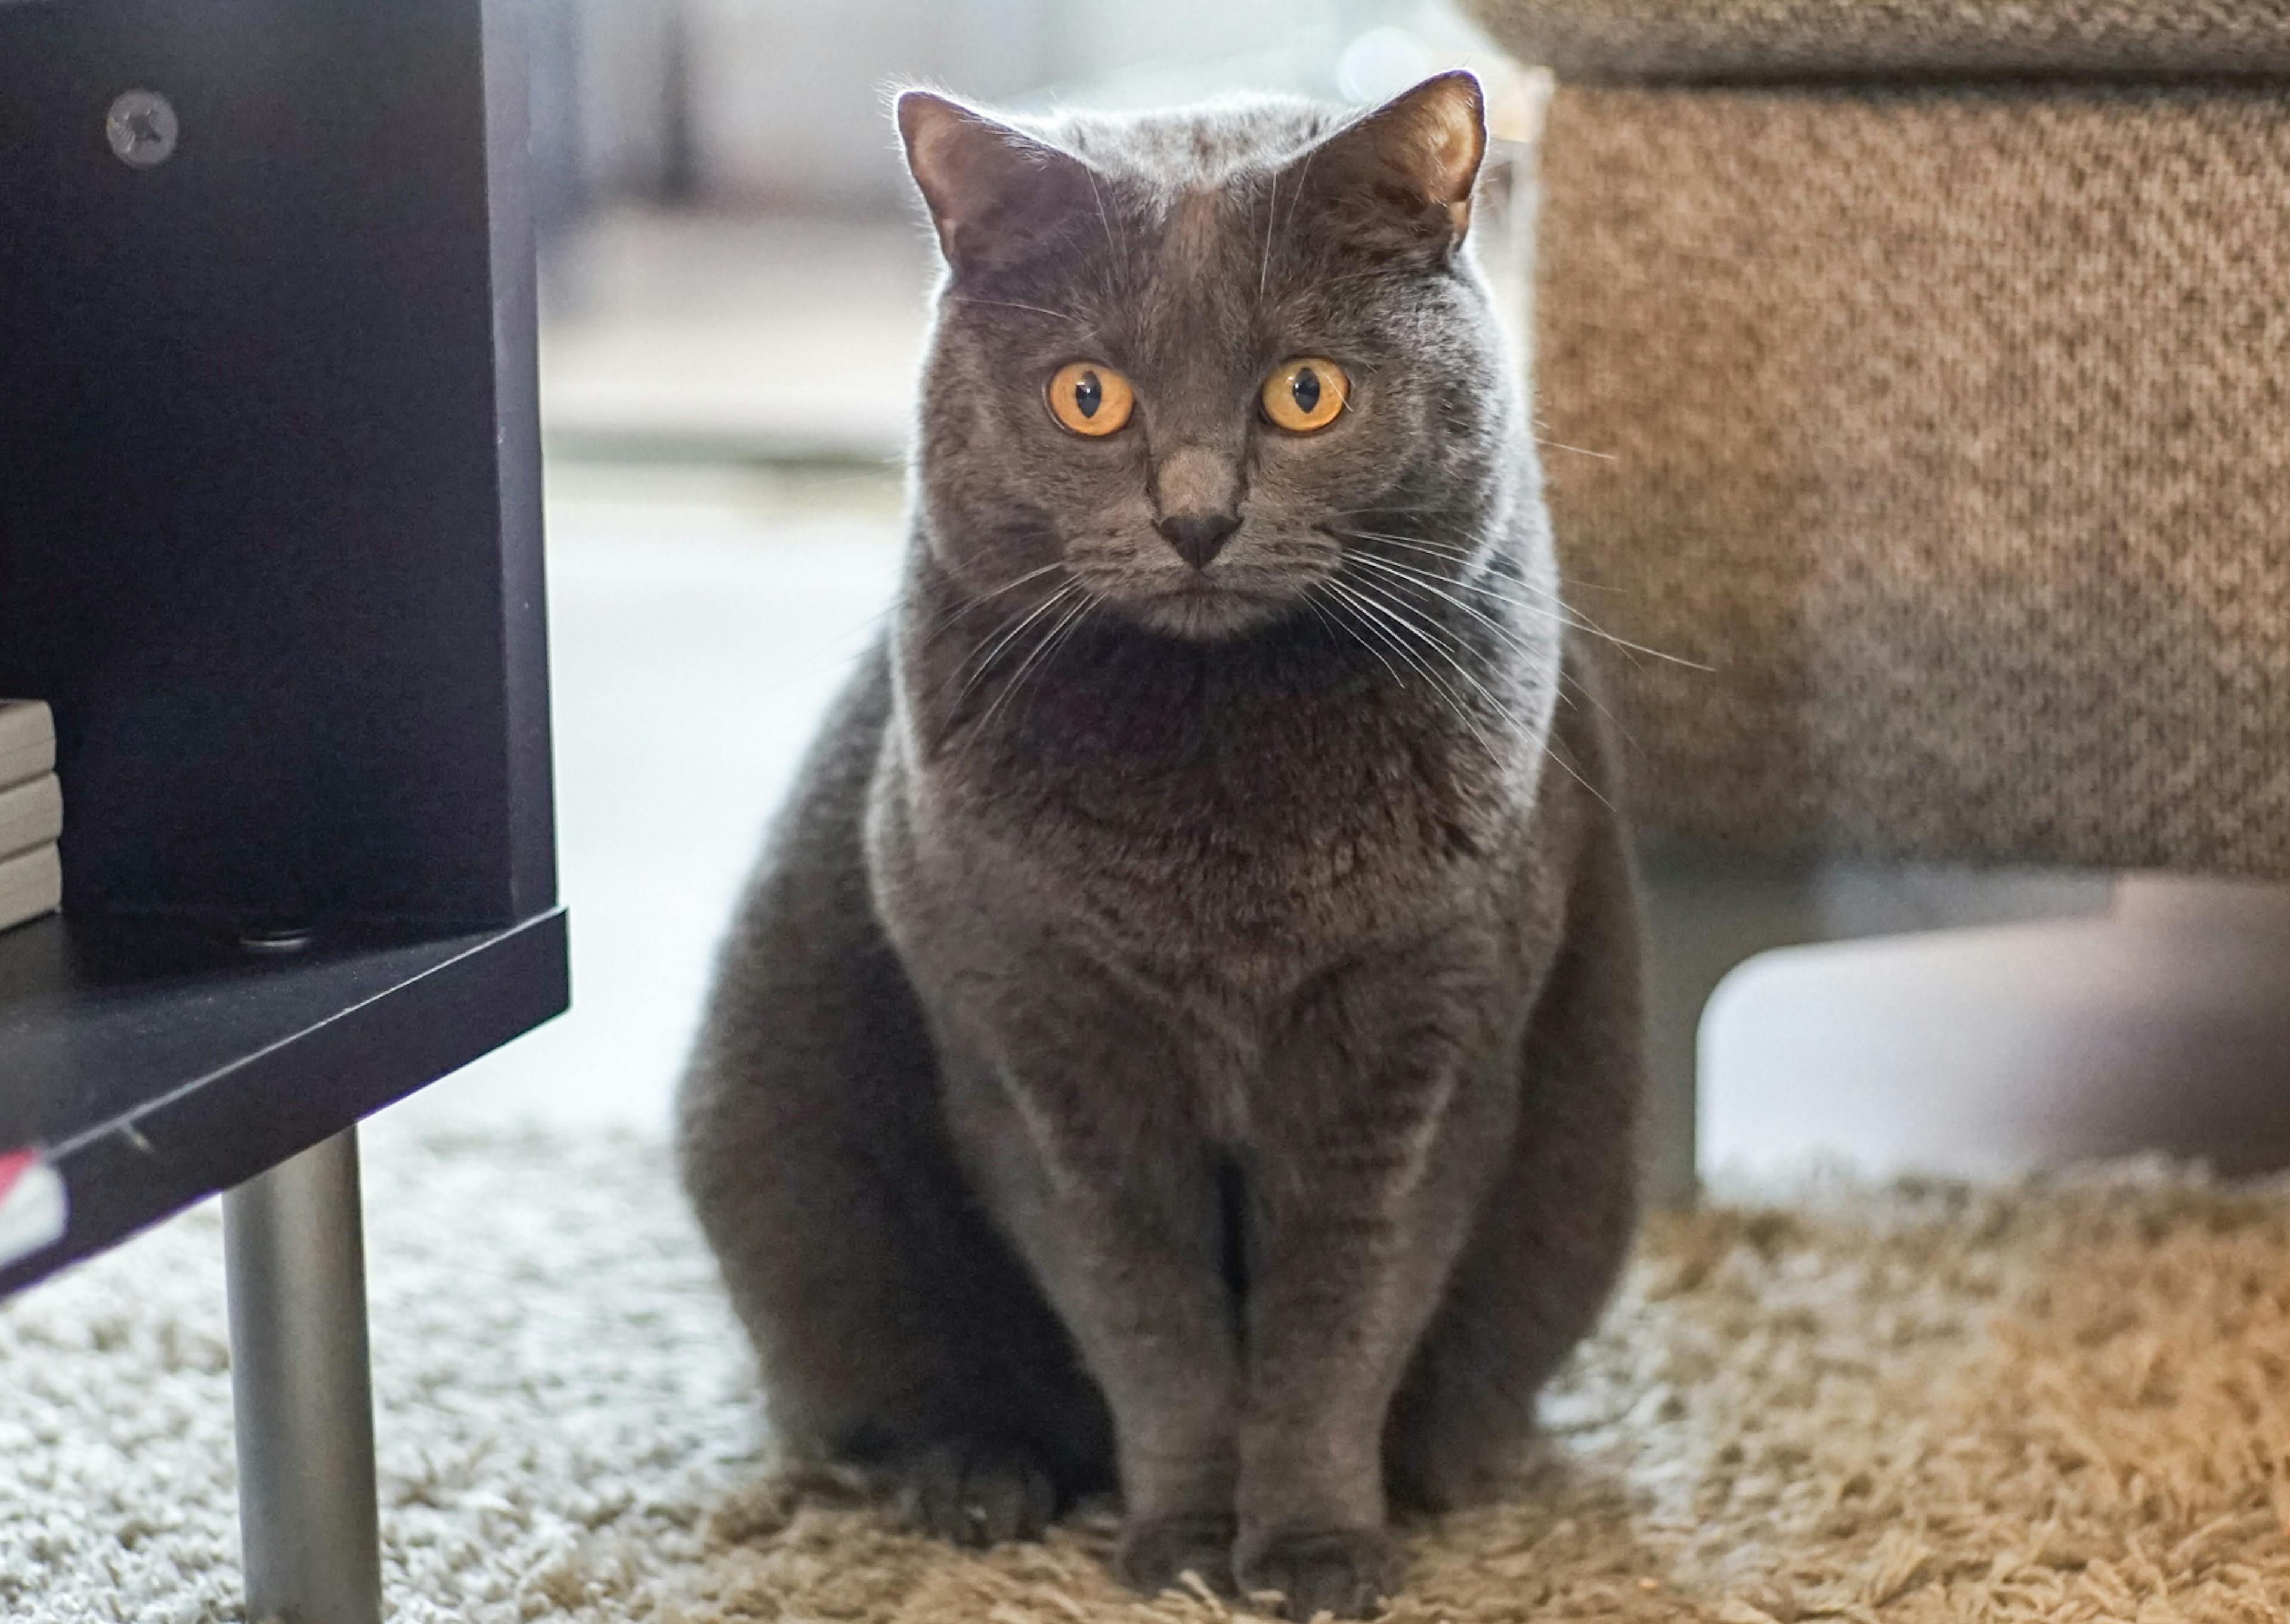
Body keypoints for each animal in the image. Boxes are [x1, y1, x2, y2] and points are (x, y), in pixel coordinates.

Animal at [677, 69, 1648, 1612]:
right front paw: (1188, 1547)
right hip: (783, 1162)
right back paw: (980, 1485)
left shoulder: (1419, 1052)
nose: (1197, 516)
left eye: (1305, 391)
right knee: (878, 1393)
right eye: (1090, 397)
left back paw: (1444, 1474)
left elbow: (1340, 1328)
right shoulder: (1047, 1056)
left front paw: (1314, 1555)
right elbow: (1150, 1327)